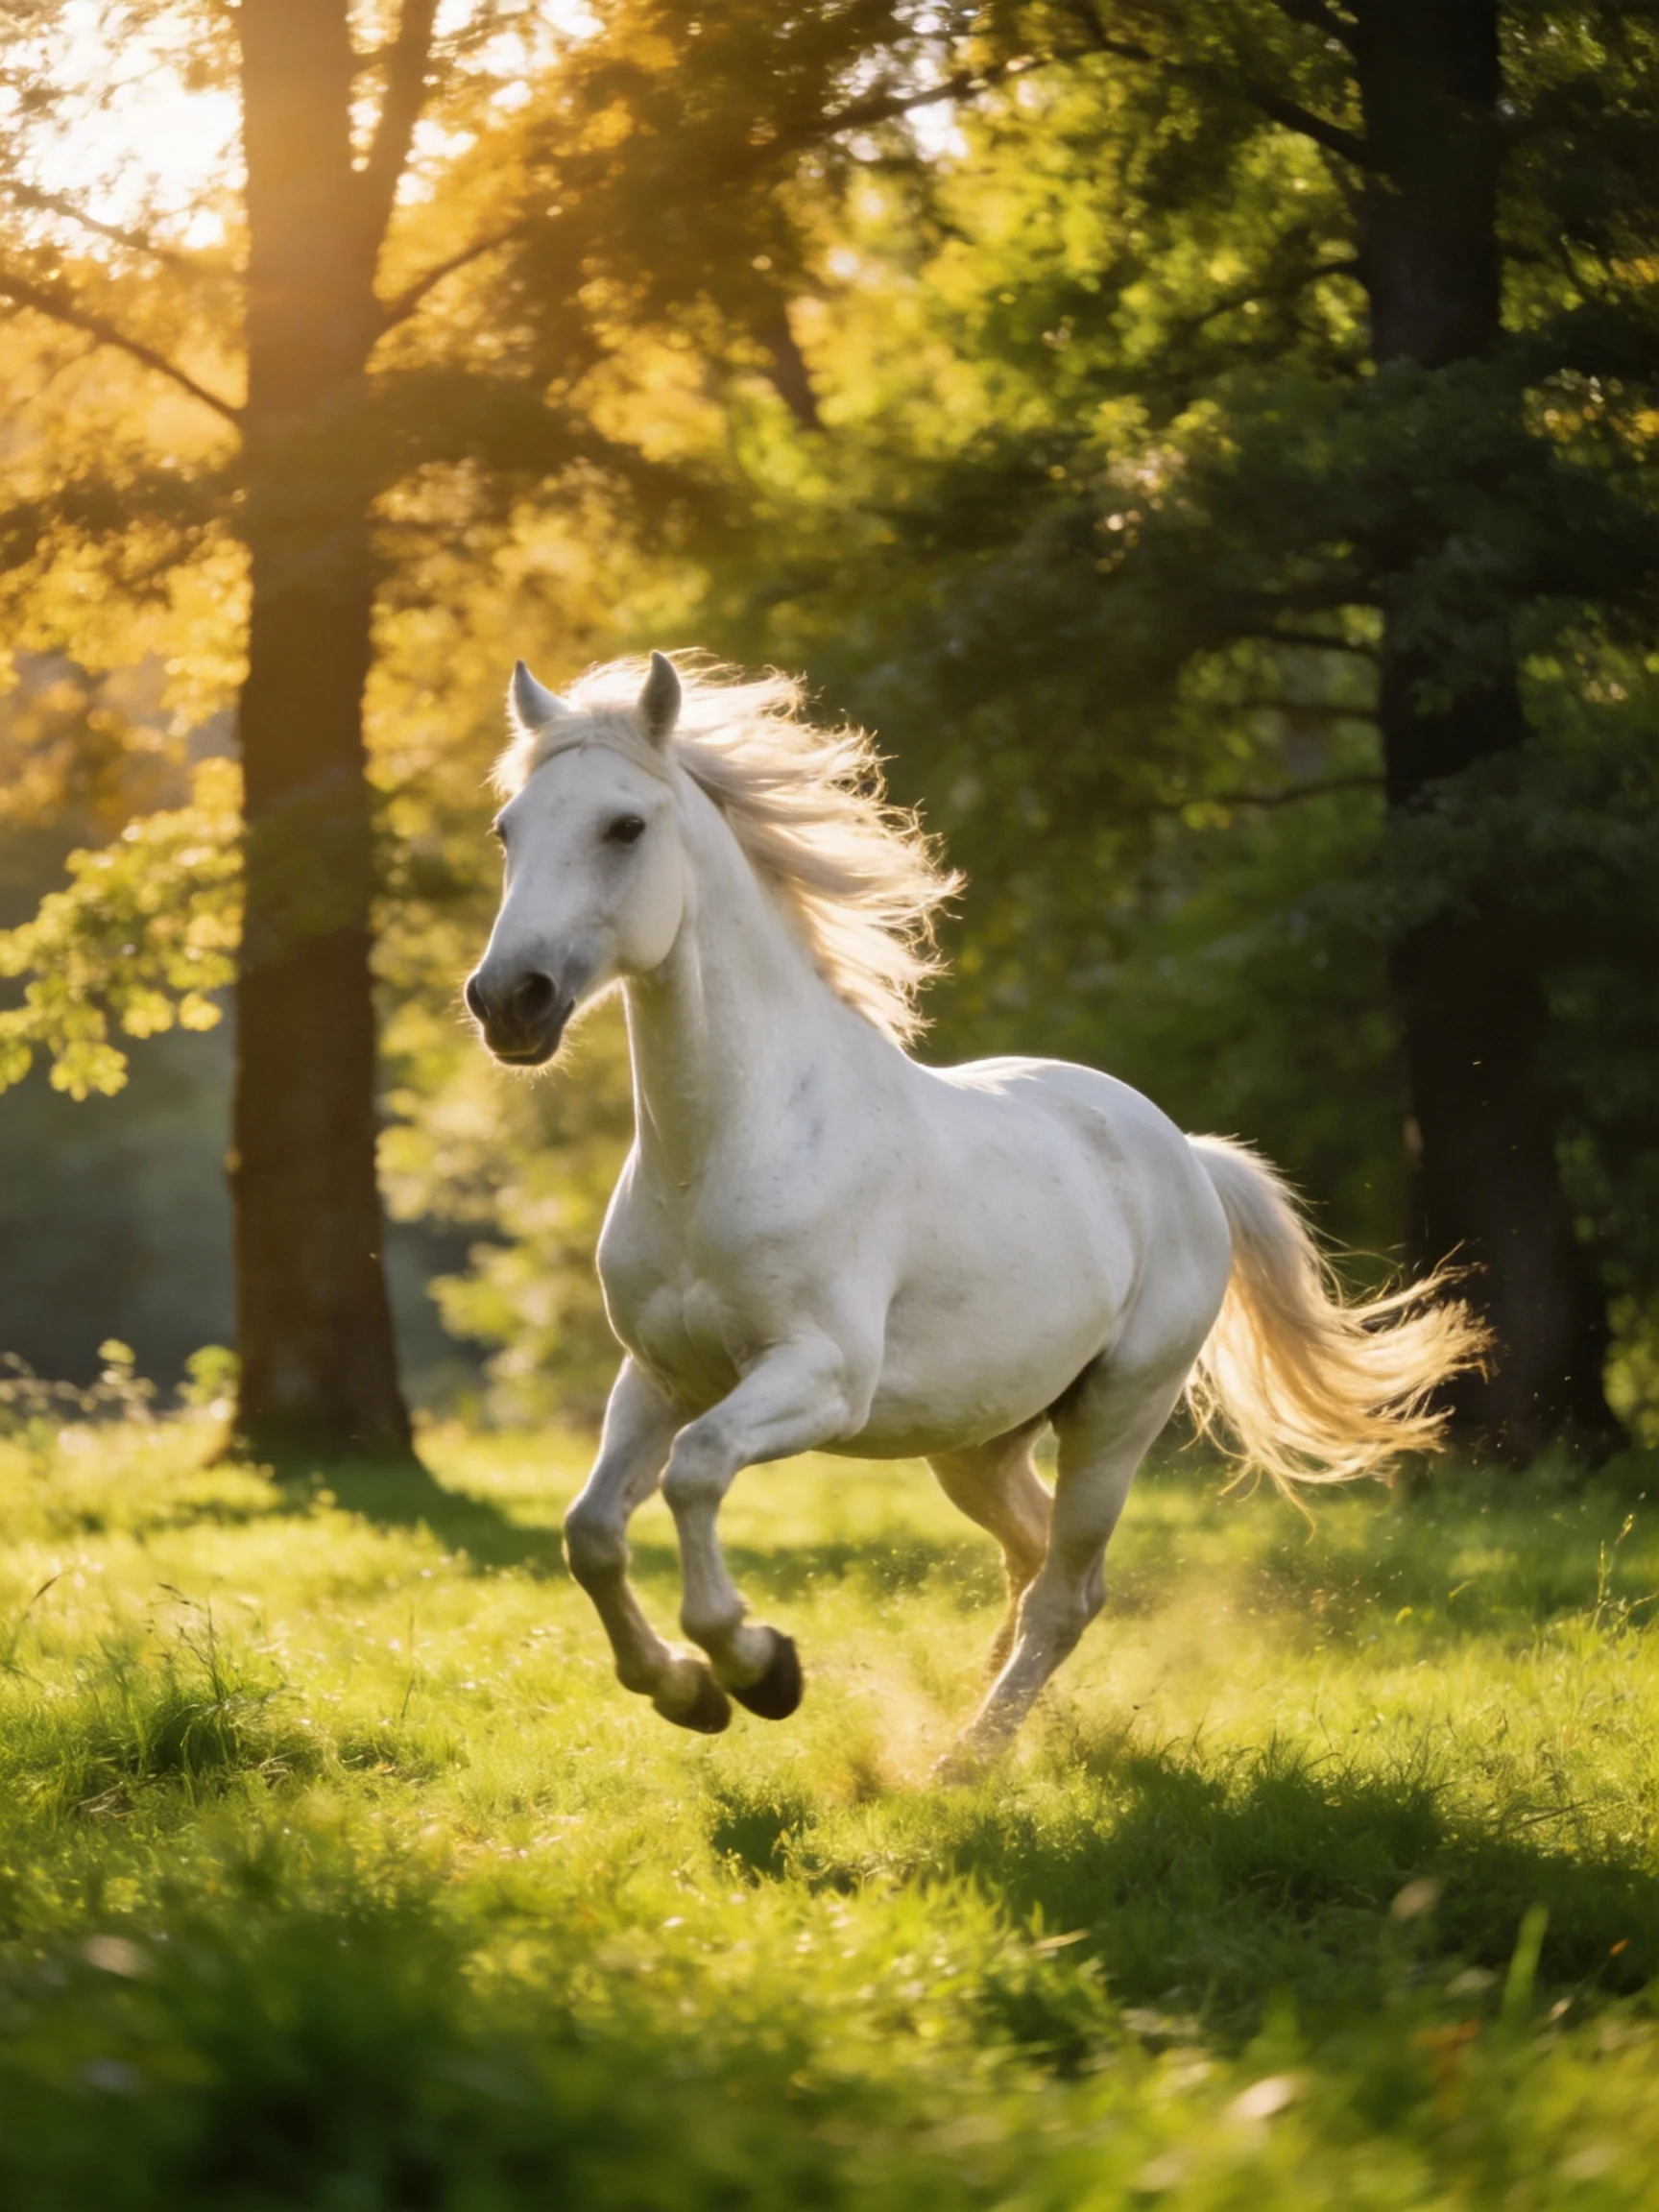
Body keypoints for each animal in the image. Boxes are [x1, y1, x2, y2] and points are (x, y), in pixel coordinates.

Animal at [465, 650, 1483, 1765]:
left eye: (624, 827)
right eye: (509, 828)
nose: (508, 1001)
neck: (731, 1146)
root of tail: (1185, 1155)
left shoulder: (819, 1378)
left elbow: (695, 1474)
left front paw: (757, 1668)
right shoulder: (659, 1376)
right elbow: (591, 1532)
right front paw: (685, 1691)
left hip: (1118, 1416)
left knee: (1066, 1591)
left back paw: (967, 1762)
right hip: (978, 1440)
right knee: (1039, 1560)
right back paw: (1003, 1722)